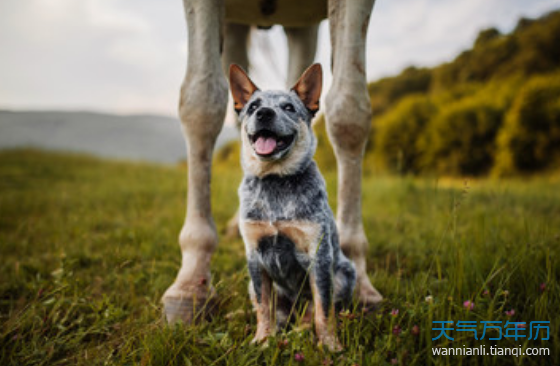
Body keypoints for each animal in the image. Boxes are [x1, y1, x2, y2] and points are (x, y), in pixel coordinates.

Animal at [230, 63, 356, 352]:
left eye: (288, 107)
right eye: (253, 106)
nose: (264, 113)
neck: (275, 181)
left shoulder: (319, 256)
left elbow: (323, 309)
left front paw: (330, 345)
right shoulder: (255, 256)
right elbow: (263, 306)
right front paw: (263, 340)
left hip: (344, 274)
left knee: (312, 311)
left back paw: (299, 331)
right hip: (253, 284)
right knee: (270, 308)